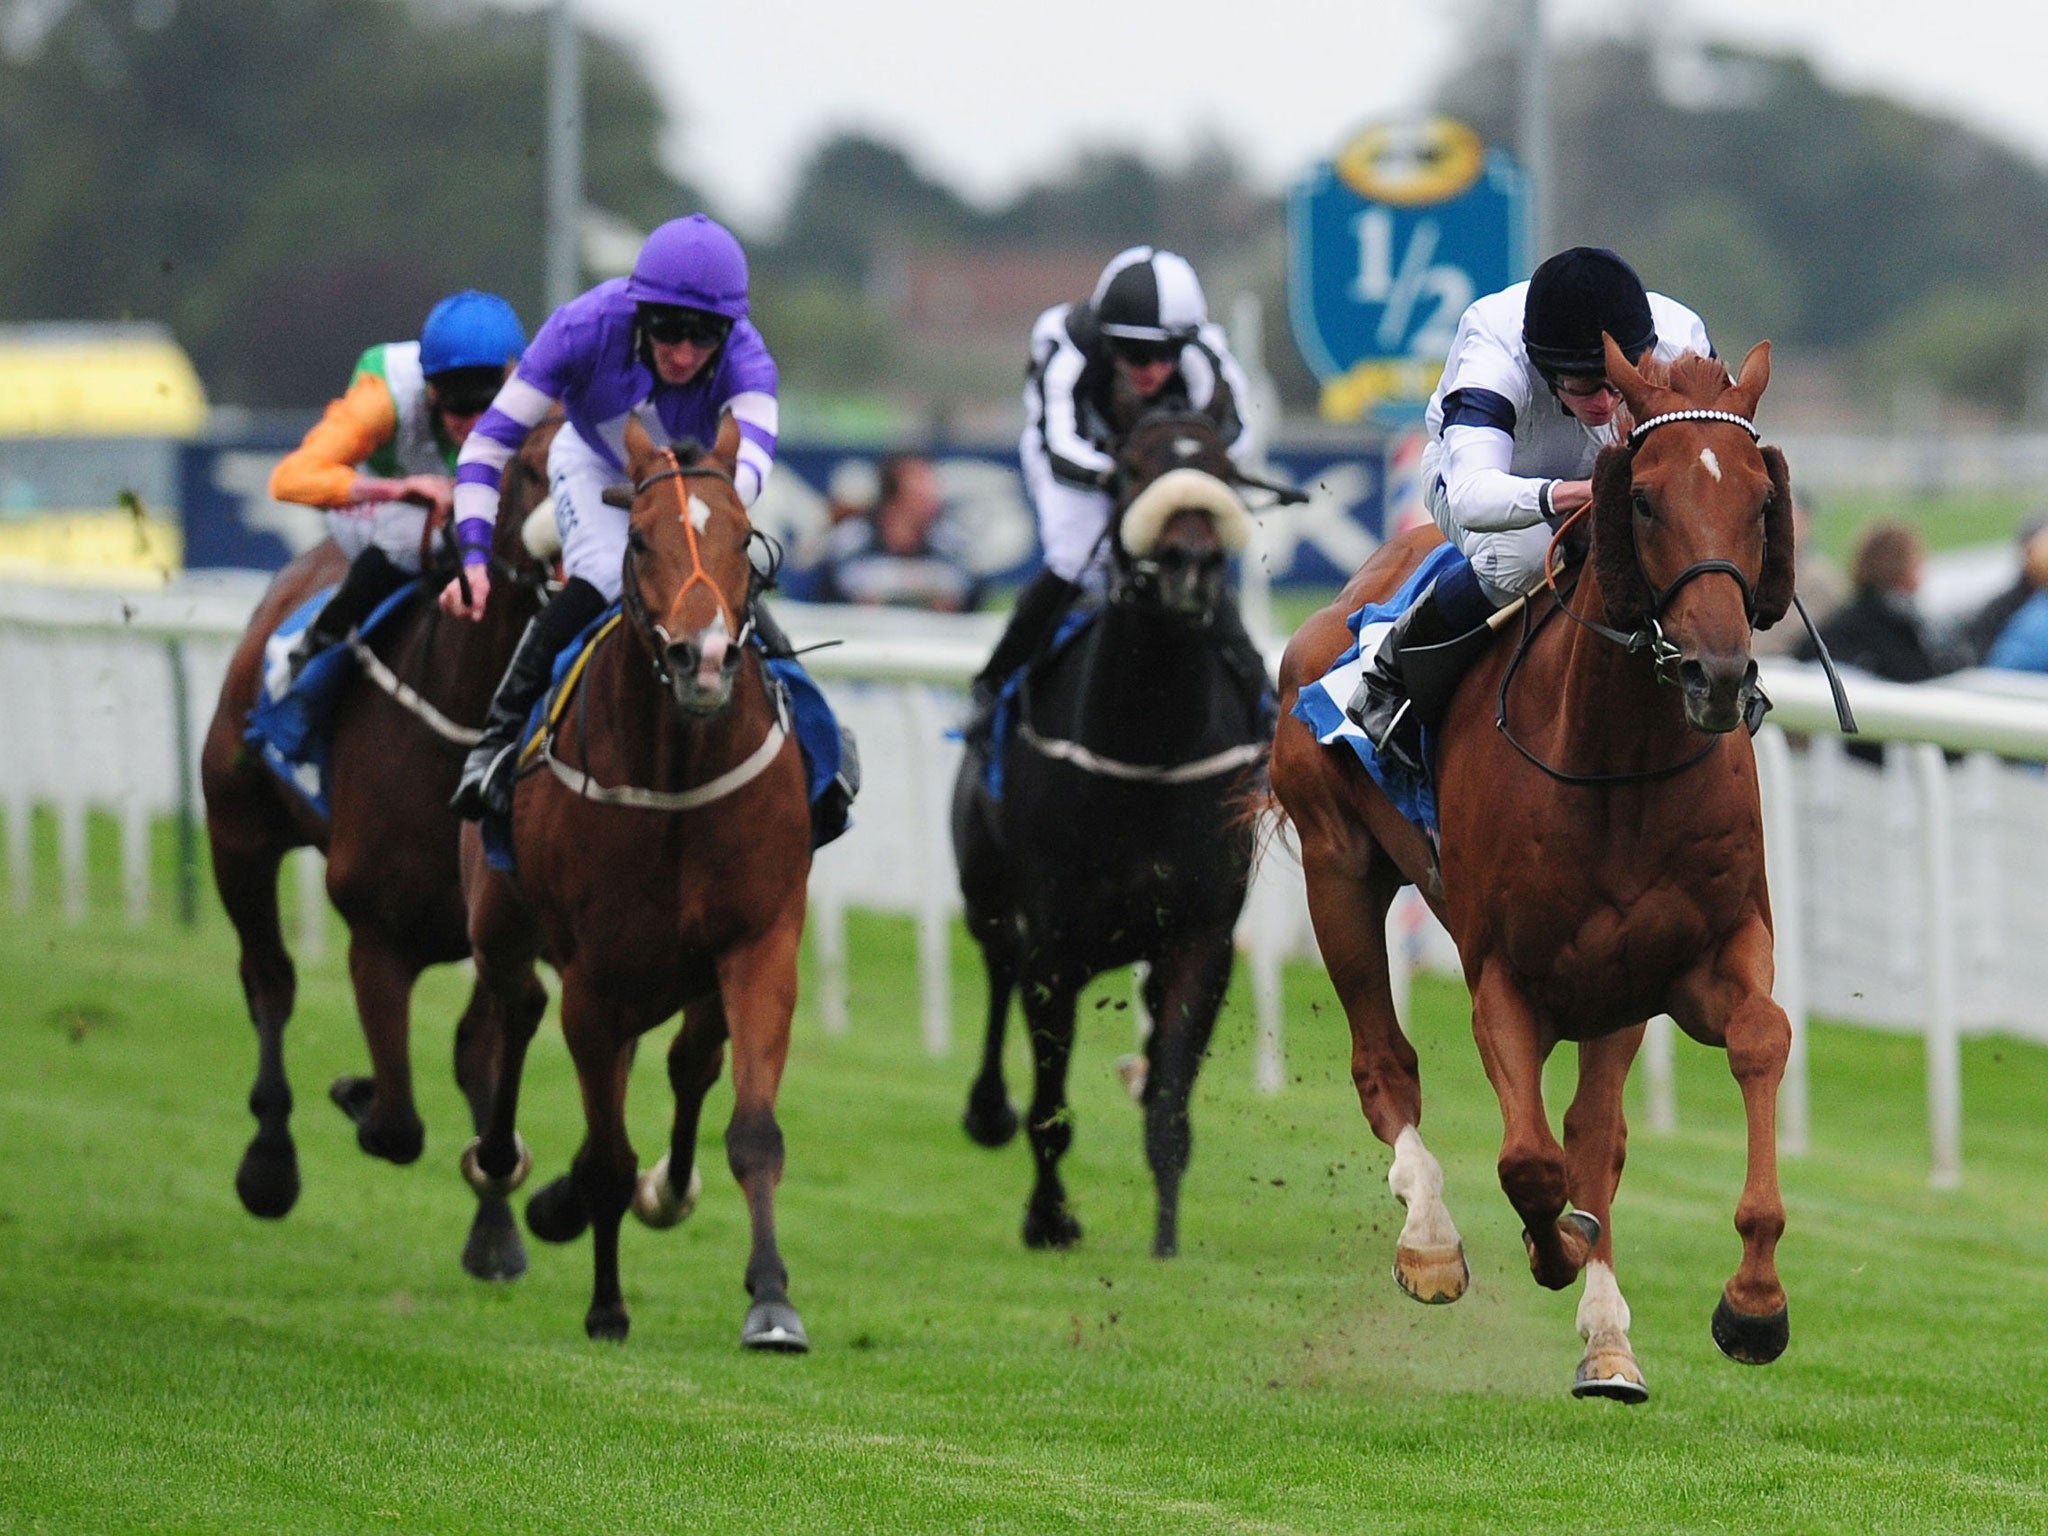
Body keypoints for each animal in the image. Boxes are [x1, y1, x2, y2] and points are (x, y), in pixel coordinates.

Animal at [198, 421, 557, 1277]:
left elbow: (478, 1054)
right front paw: (358, 1095)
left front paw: (495, 1230)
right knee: (270, 979)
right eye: (532, 466)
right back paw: (268, 1164)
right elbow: (396, 1126)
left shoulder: (503, 935)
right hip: (238, 832)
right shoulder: (376, 932)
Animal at [464, 415, 815, 1351]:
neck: (675, 772)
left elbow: (754, 1131)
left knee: (690, 1061)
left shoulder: (759, 941)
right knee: (518, 1007)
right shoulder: (594, 981)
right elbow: (610, 1156)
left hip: (688, 975)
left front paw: (772, 1302)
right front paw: (607, 1306)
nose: (705, 659)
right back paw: (506, 1175)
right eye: (643, 538)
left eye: (743, 536)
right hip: (502, 923)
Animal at [954, 409, 1261, 1261]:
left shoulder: (1200, 937)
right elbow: (1049, 1111)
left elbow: (1170, 1111)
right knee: (995, 970)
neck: (1147, 747)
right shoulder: (1053, 946)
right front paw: (1050, 1219)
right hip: (989, 898)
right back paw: (985, 1110)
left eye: (1224, 469)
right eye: (1130, 469)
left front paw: (1165, 1244)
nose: (1192, 563)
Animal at [1269, 339, 1802, 1409]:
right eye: (1644, 499)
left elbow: (1756, 1041)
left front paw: (1753, 1303)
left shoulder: (1695, 960)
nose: (1717, 675)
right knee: (1385, 1064)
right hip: (1337, 867)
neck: (1617, 765)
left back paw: (1608, 1340)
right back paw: (1432, 1242)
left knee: (1596, 1136)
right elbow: (1526, 1163)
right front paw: (1546, 1247)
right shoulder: (1503, 977)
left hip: (1610, 994)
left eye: (1761, 499)